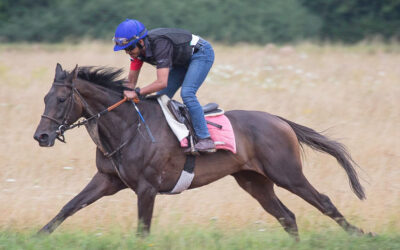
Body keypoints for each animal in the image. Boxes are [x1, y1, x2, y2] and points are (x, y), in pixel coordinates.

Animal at [32, 63, 368, 239]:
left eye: (61, 99)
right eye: (45, 97)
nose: (41, 136)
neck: (129, 126)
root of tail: (279, 120)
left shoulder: (146, 188)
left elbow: (143, 229)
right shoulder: (107, 179)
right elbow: (69, 206)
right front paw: (37, 237)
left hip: (287, 174)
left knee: (323, 202)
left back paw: (361, 234)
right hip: (254, 182)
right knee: (286, 216)